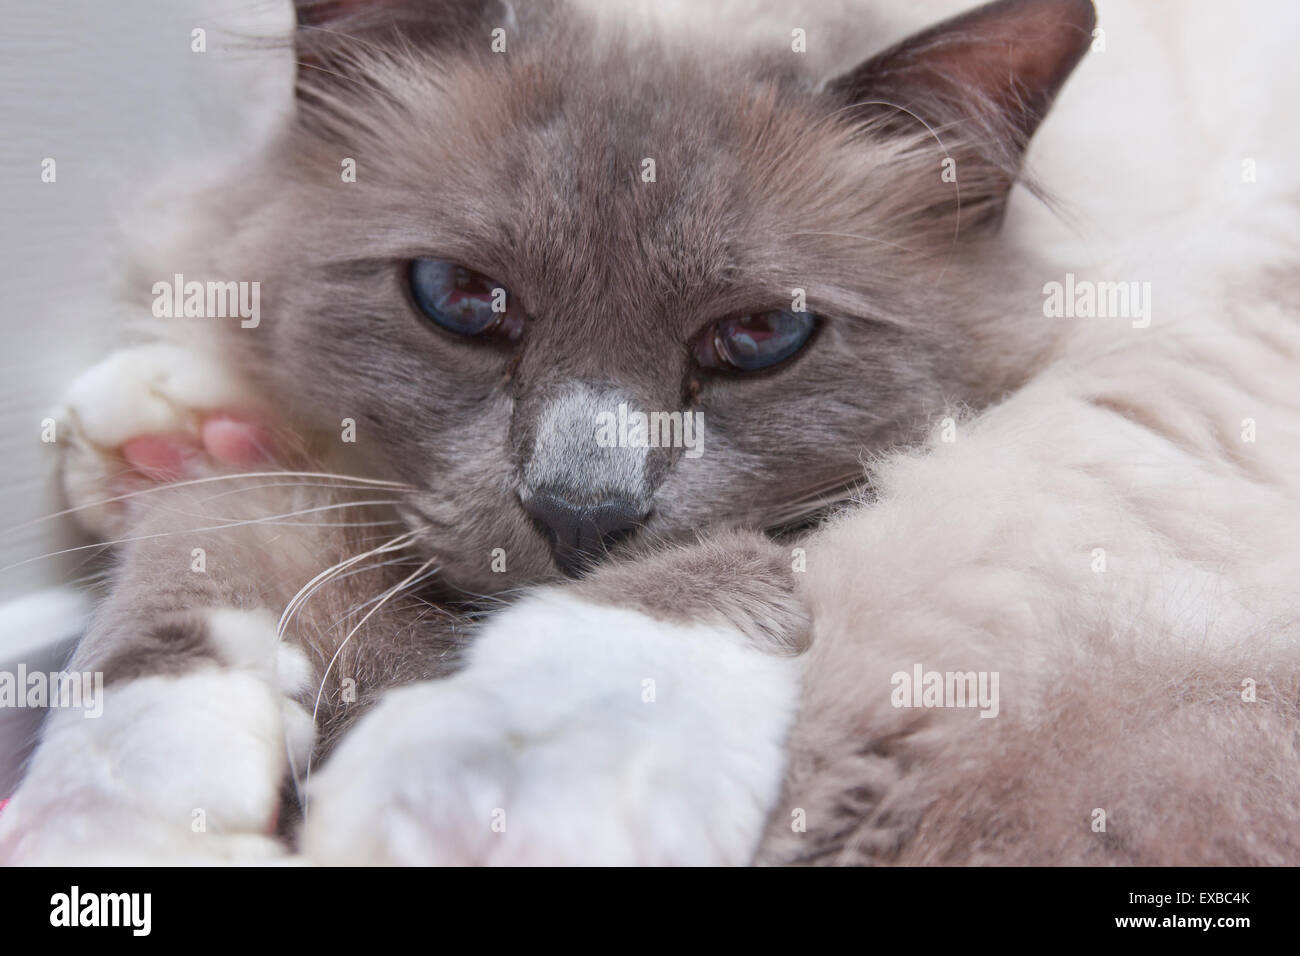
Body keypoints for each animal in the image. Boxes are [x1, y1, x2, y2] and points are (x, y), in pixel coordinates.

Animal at [2, 0, 1300, 868]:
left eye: (759, 335)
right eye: (462, 300)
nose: (581, 512)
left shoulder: (1163, 390)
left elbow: (713, 590)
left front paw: (477, 799)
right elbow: (195, 575)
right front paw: (126, 812)